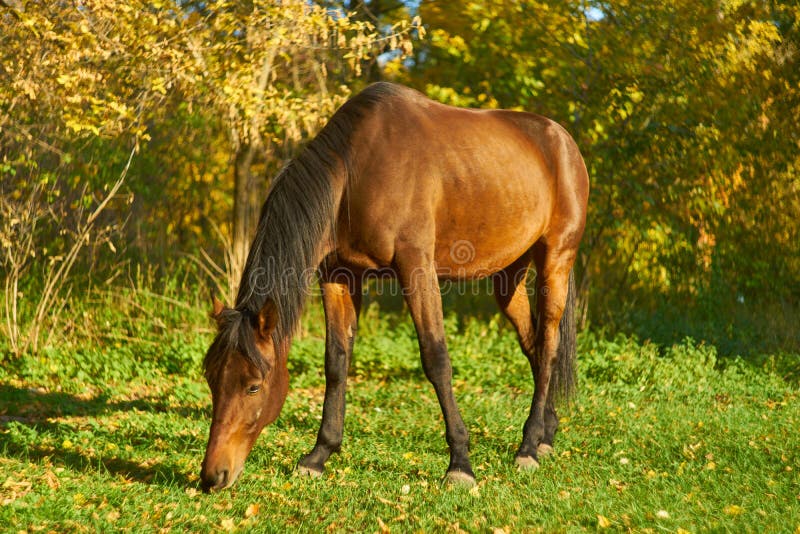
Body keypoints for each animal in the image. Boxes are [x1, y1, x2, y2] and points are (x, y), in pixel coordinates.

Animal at [199, 82, 589, 492]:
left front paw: (460, 464)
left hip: (555, 261)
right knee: (533, 345)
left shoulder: (416, 268)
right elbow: (336, 360)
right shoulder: (339, 275)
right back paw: (546, 433)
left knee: (549, 346)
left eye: (253, 386)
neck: (354, 174)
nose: (213, 475)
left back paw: (528, 446)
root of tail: (562, 140)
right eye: (212, 379)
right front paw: (319, 454)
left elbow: (436, 359)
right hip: (508, 277)